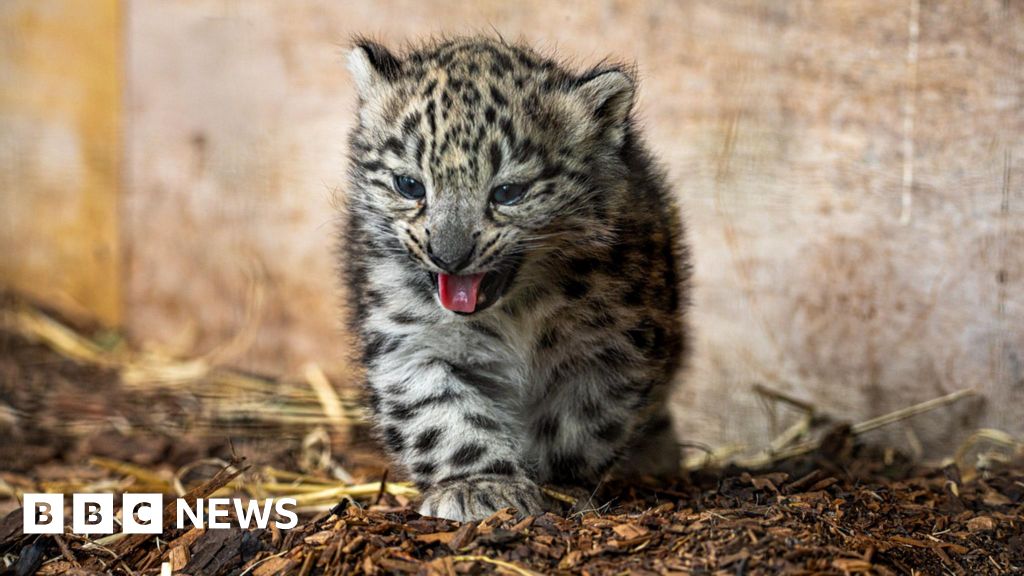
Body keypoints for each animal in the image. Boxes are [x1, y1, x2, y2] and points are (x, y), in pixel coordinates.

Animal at [339, 36, 690, 522]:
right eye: (409, 185)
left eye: (508, 193)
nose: (448, 256)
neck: (517, 311)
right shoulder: (410, 344)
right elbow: (439, 417)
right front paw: (480, 487)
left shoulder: (613, 349)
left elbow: (580, 423)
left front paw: (559, 484)